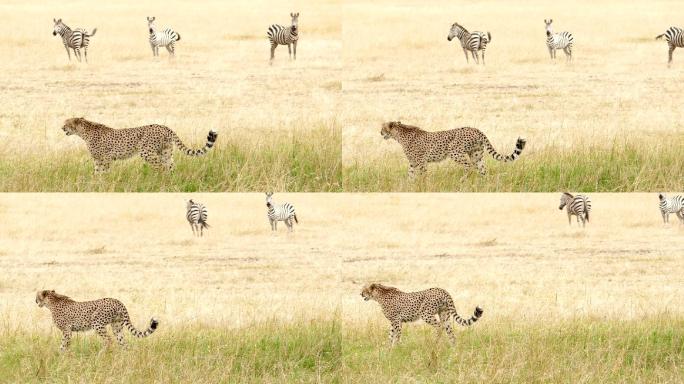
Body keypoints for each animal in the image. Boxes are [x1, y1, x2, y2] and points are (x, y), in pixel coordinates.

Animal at [61, 117, 218, 174]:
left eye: (67, 123)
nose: (62, 128)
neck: (83, 131)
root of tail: (164, 126)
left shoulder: (105, 159)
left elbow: (103, 172)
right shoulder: (99, 160)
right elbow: (97, 172)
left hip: (147, 152)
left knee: (160, 167)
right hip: (166, 152)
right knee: (170, 167)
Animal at [382, 121, 528, 178]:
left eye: (383, 128)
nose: (380, 132)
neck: (400, 133)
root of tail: (476, 129)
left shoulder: (421, 161)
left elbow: (422, 174)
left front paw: (422, 184)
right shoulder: (413, 163)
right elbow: (410, 174)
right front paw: (410, 184)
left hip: (454, 152)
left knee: (468, 165)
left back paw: (463, 179)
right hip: (476, 155)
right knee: (482, 169)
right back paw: (484, 183)